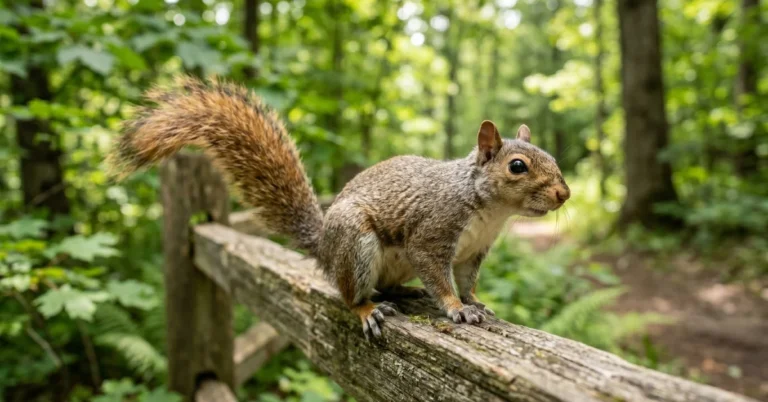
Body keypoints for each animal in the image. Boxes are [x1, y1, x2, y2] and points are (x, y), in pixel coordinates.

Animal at [108, 76, 570, 339]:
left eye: (550, 155)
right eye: (517, 166)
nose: (564, 194)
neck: (489, 210)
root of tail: (325, 248)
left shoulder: (474, 251)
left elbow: (468, 280)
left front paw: (475, 302)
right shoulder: (433, 232)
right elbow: (440, 277)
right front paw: (456, 308)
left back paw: (405, 291)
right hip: (355, 244)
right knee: (350, 295)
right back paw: (368, 309)